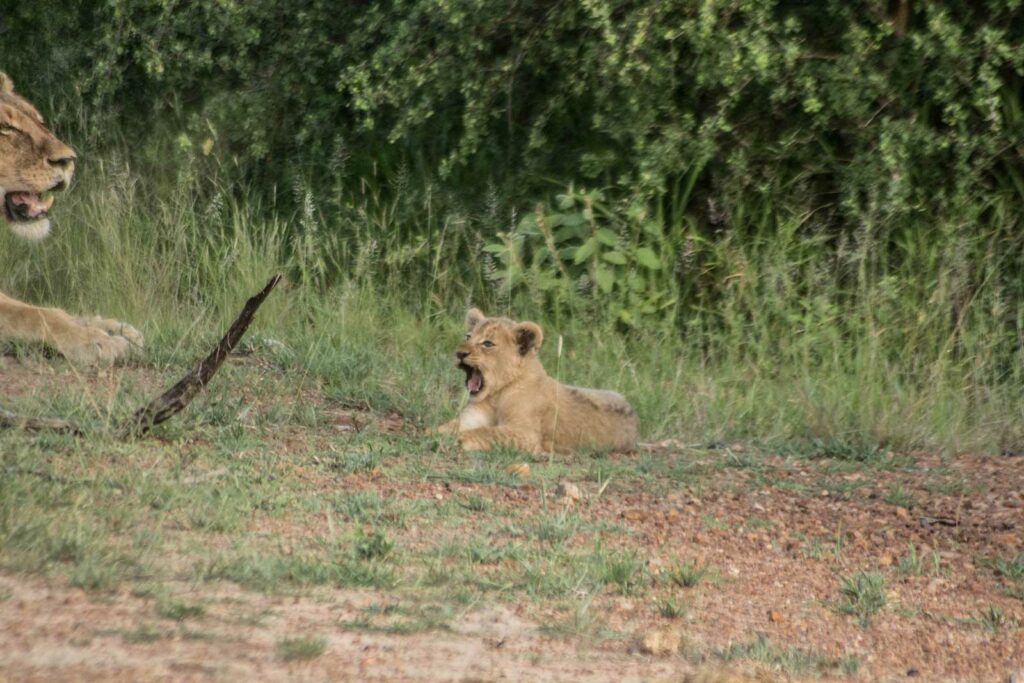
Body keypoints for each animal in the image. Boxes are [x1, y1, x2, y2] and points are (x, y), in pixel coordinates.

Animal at [0, 71, 142, 364]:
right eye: (4, 128)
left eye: (39, 121)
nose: (68, 161)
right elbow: (33, 314)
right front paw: (97, 340)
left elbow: (47, 309)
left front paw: (111, 327)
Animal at [435, 308, 638, 453]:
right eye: (468, 336)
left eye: (487, 343)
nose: (459, 353)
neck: (496, 394)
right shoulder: (471, 417)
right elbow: (449, 426)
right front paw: (434, 433)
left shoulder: (526, 434)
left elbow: (487, 432)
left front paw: (459, 439)